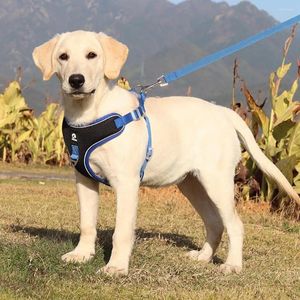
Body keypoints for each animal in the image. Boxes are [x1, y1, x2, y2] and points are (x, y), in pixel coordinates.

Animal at [32, 31, 300, 276]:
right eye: (63, 57)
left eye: (92, 55)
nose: (76, 80)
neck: (90, 113)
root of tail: (223, 112)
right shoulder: (84, 180)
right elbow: (87, 223)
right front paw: (82, 254)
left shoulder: (127, 183)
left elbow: (122, 232)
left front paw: (117, 267)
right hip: (192, 183)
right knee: (215, 222)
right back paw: (204, 257)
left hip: (217, 182)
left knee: (235, 224)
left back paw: (233, 264)